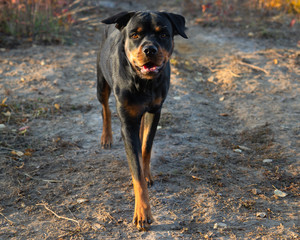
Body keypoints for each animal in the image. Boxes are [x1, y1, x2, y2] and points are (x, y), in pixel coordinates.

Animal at [96, 11, 186, 231]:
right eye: (135, 35)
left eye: (163, 34)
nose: (150, 49)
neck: (143, 83)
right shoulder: (127, 120)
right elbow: (135, 171)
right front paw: (143, 213)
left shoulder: (155, 111)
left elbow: (145, 147)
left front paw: (146, 174)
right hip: (101, 83)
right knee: (105, 108)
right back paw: (106, 137)